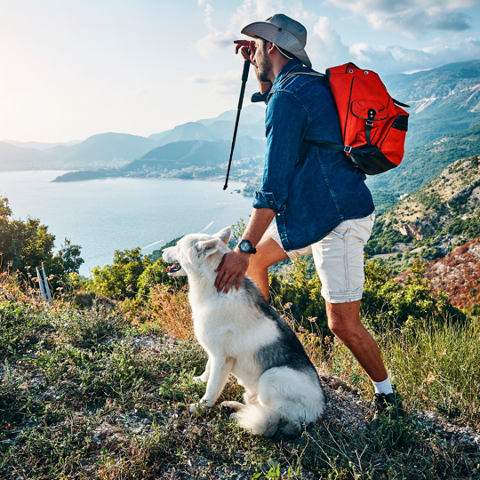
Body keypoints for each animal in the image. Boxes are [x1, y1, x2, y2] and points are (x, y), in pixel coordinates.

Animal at [162, 227, 326, 436]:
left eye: (177, 246)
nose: (162, 251)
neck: (211, 285)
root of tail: (317, 412)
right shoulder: (214, 354)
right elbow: (207, 372)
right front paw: (199, 380)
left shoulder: (222, 359)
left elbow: (212, 388)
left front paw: (201, 407)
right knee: (256, 406)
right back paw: (234, 409)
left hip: (271, 377)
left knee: (275, 418)